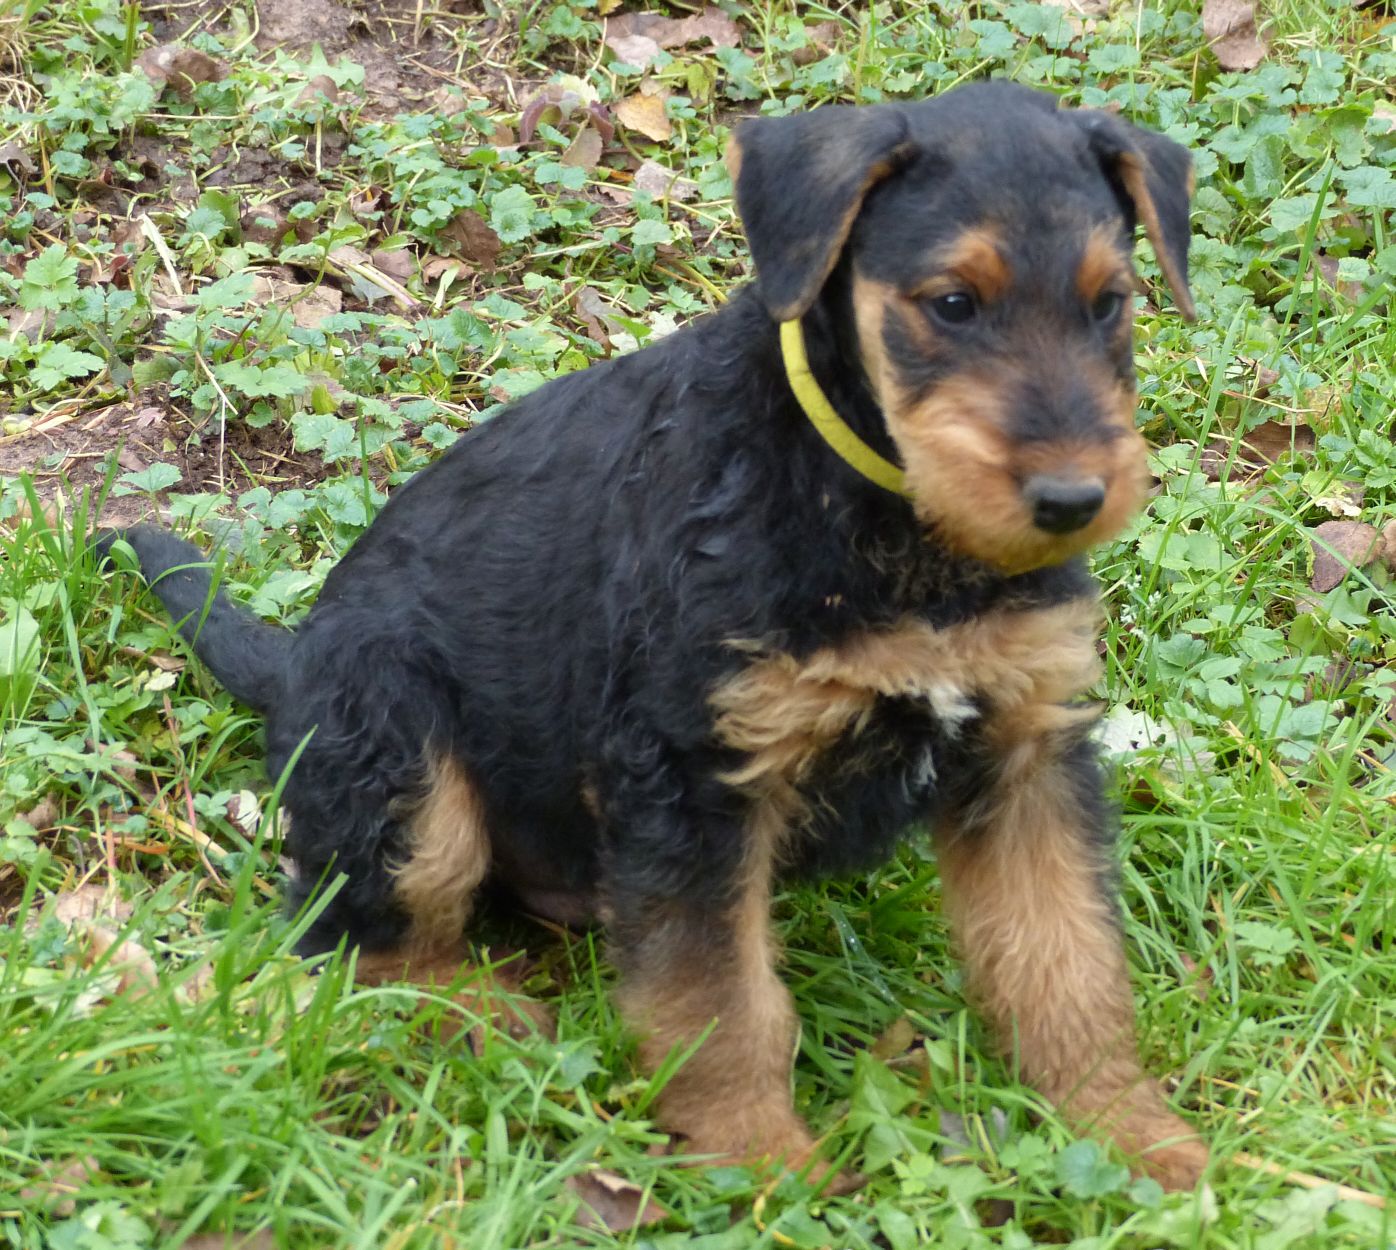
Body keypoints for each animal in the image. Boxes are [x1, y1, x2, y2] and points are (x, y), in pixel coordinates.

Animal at [99, 81, 1206, 1190]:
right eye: (952, 303)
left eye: (1110, 303)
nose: (1071, 499)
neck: (883, 517)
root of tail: (289, 666)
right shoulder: (692, 770)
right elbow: (724, 1001)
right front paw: (762, 1164)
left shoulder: (1028, 750)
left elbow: (1066, 960)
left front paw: (1134, 1134)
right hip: (403, 765)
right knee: (358, 946)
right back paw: (489, 1019)